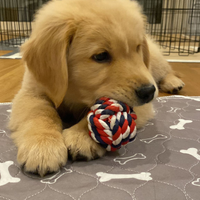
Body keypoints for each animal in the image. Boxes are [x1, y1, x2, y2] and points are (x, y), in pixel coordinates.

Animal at [9, 0, 184, 177]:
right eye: (100, 56)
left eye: (137, 48)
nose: (148, 92)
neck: (74, 92)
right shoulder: (31, 92)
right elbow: (40, 113)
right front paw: (42, 146)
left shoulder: (143, 105)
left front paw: (81, 137)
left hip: (154, 62)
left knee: (166, 70)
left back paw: (173, 82)